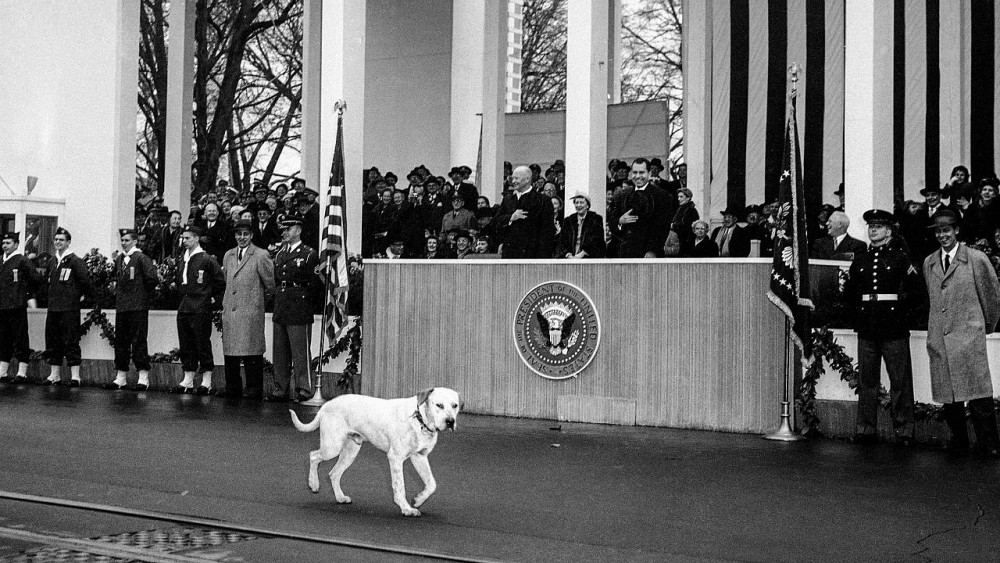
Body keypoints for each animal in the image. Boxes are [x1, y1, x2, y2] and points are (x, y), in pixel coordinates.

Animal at [290, 390, 460, 516]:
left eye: (455, 405)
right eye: (439, 405)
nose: (450, 421)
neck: (419, 420)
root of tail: (326, 405)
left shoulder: (420, 457)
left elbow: (432, 484)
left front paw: (418, 500)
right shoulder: (395, 458)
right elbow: (400, 486)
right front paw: (406, 508)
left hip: (351, 451)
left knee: (333, 474)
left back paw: (340, 497)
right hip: (332, 447)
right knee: (313, 456)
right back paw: (313, 484)